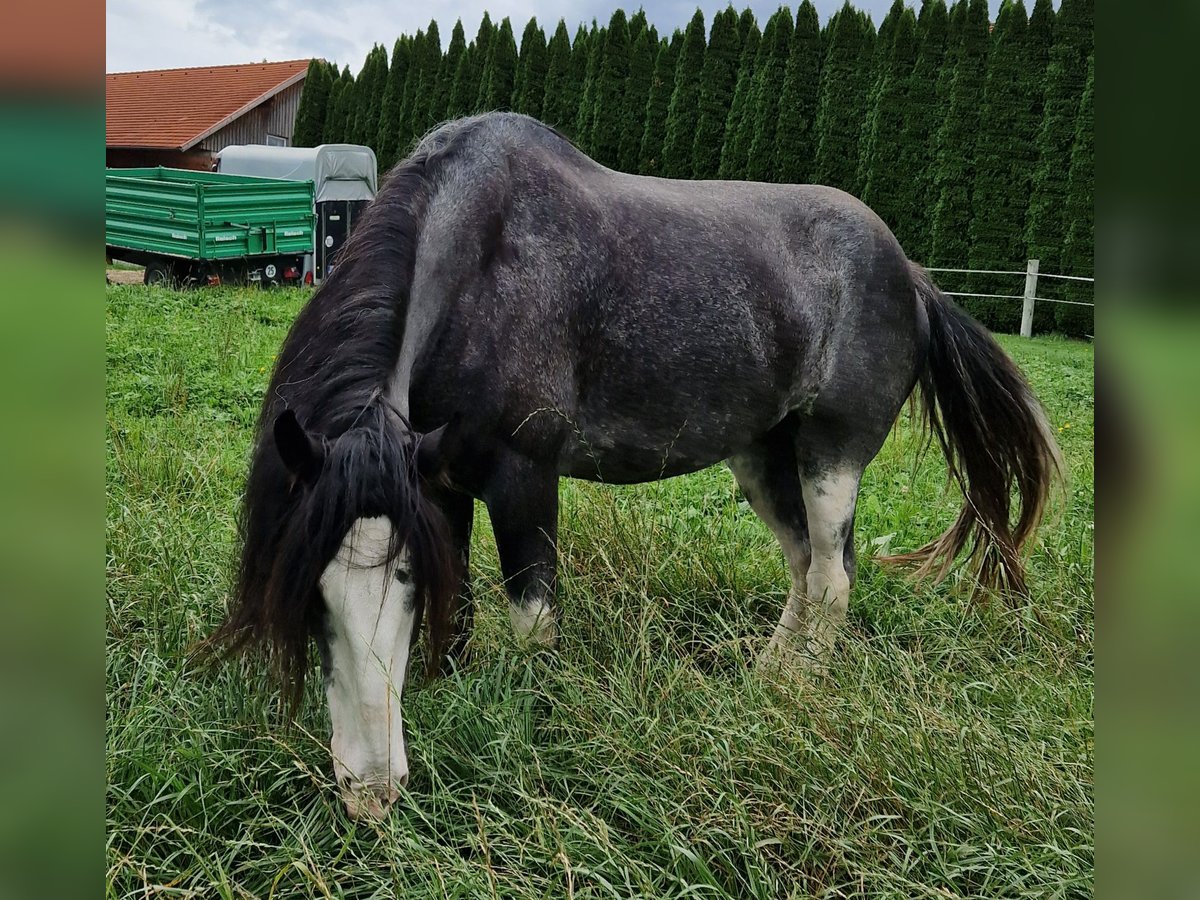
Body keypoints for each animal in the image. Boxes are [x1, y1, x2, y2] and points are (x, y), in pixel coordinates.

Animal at [213, 114, 1060, 825]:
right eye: (311, 594)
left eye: (399, 580)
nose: (370, 792)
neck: (480, 265)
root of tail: (910, 273)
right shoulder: (437, 483)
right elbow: (461, 618)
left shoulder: (523, 477)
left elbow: (533, 624)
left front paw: (536, 728)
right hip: (764, 458)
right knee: (805, 568)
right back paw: (762, 681)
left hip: (832, 456)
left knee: (833, 577)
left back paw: (797, 694)